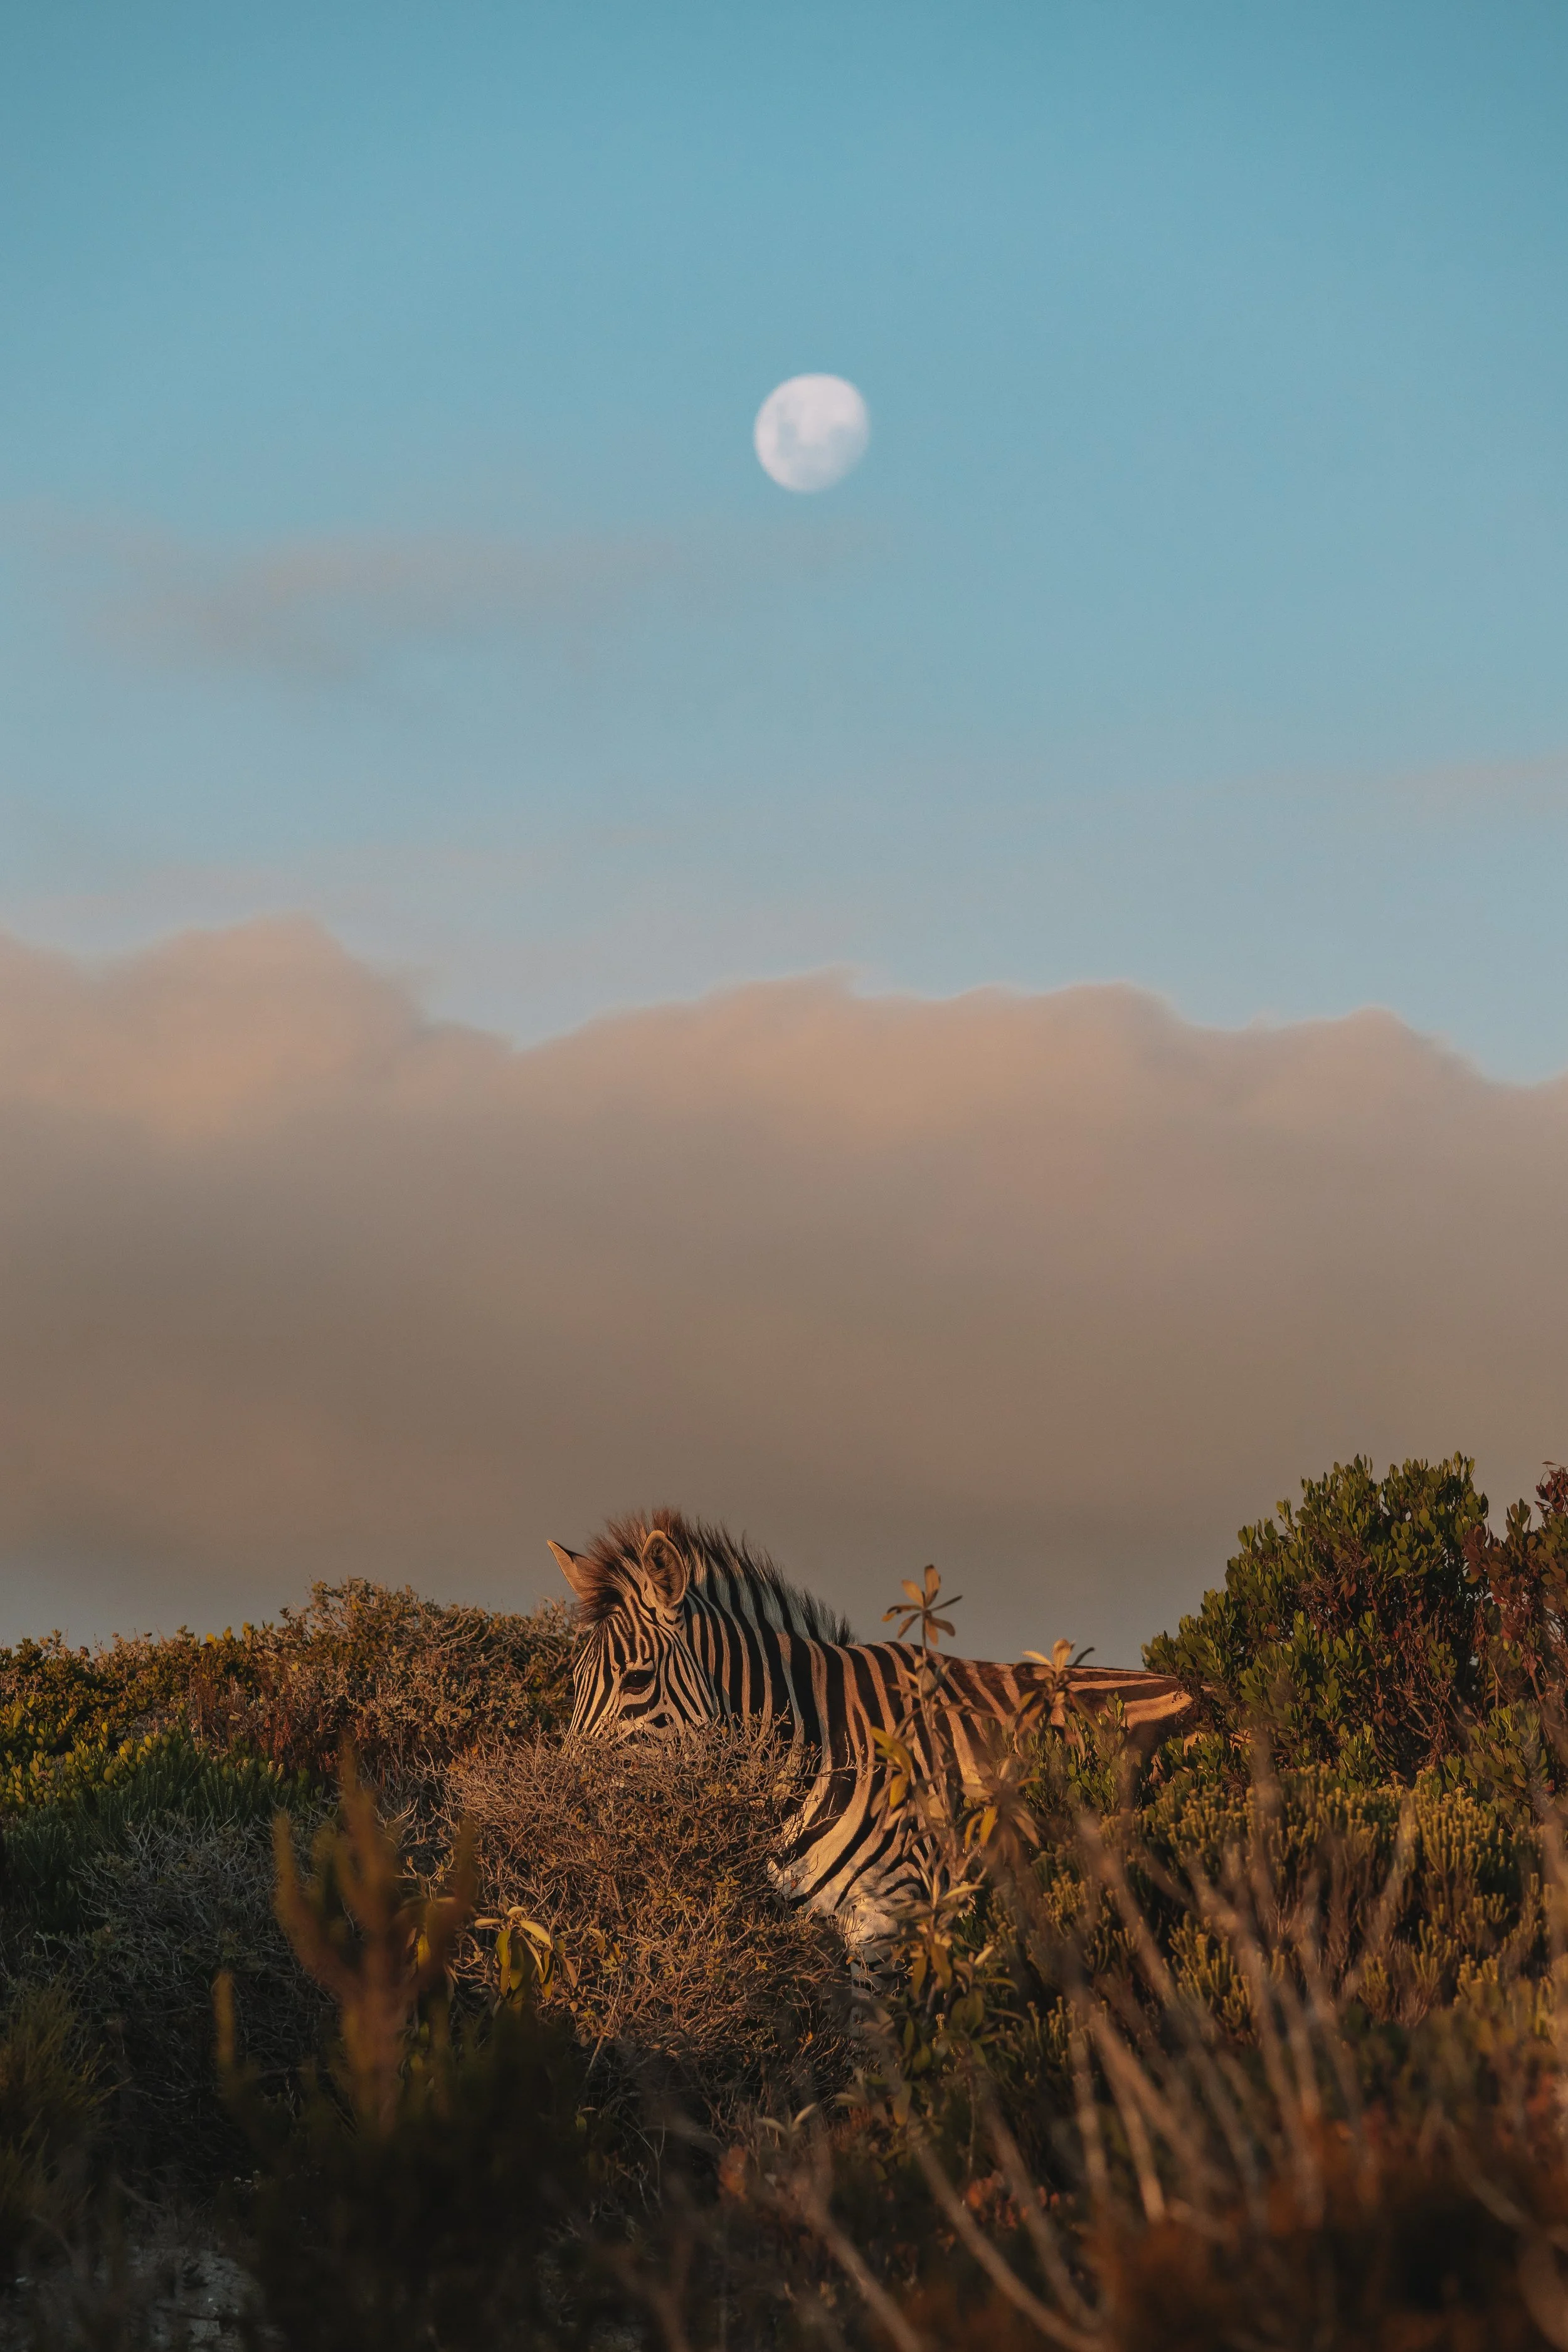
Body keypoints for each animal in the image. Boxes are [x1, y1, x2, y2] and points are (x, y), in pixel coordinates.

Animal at [550, 1508, 1190, 1944]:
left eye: (636, 1680)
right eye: (575, 1681)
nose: (557, 1815)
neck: (814, 1746)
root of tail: (1197, 1687)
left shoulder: (894, 1911)